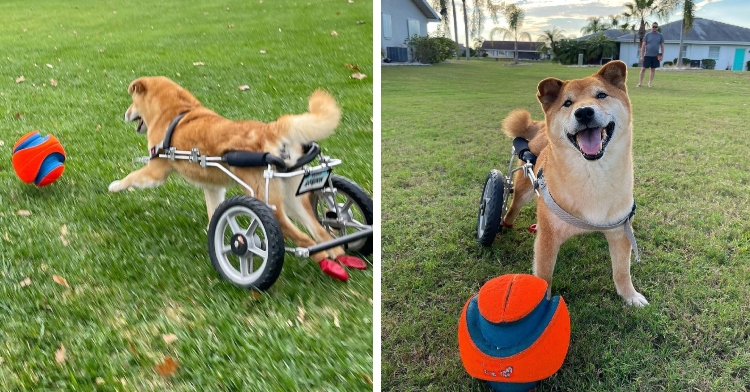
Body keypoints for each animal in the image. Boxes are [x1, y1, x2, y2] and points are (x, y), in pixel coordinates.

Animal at [109, 76, 368, 280]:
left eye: (132, 103)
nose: (124, 114)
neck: (178, 112)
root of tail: (269, 130)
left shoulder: (156, 172)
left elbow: (131, 177)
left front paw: (115, 186)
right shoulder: (213, 188)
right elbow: (214, 212)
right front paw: (213, 234)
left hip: (264, 199)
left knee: (300, 236)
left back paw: (322, 259)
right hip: (294, 196)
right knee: (321, 232)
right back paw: (340, 257)